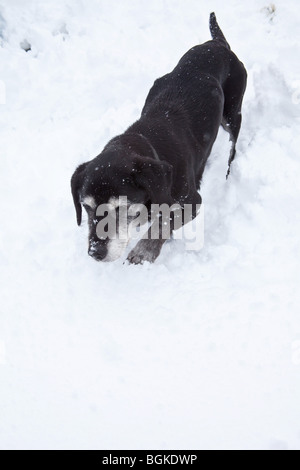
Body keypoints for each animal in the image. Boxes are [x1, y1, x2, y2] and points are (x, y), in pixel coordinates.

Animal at [71, 12, 247, 264]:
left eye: (120, 208)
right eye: (86, 207)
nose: (95, 252)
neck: (148, 144)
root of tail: (218, 44)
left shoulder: (191, 201)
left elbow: (164, 222)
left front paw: (143, 251)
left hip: (232, 112)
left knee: (233, 144)